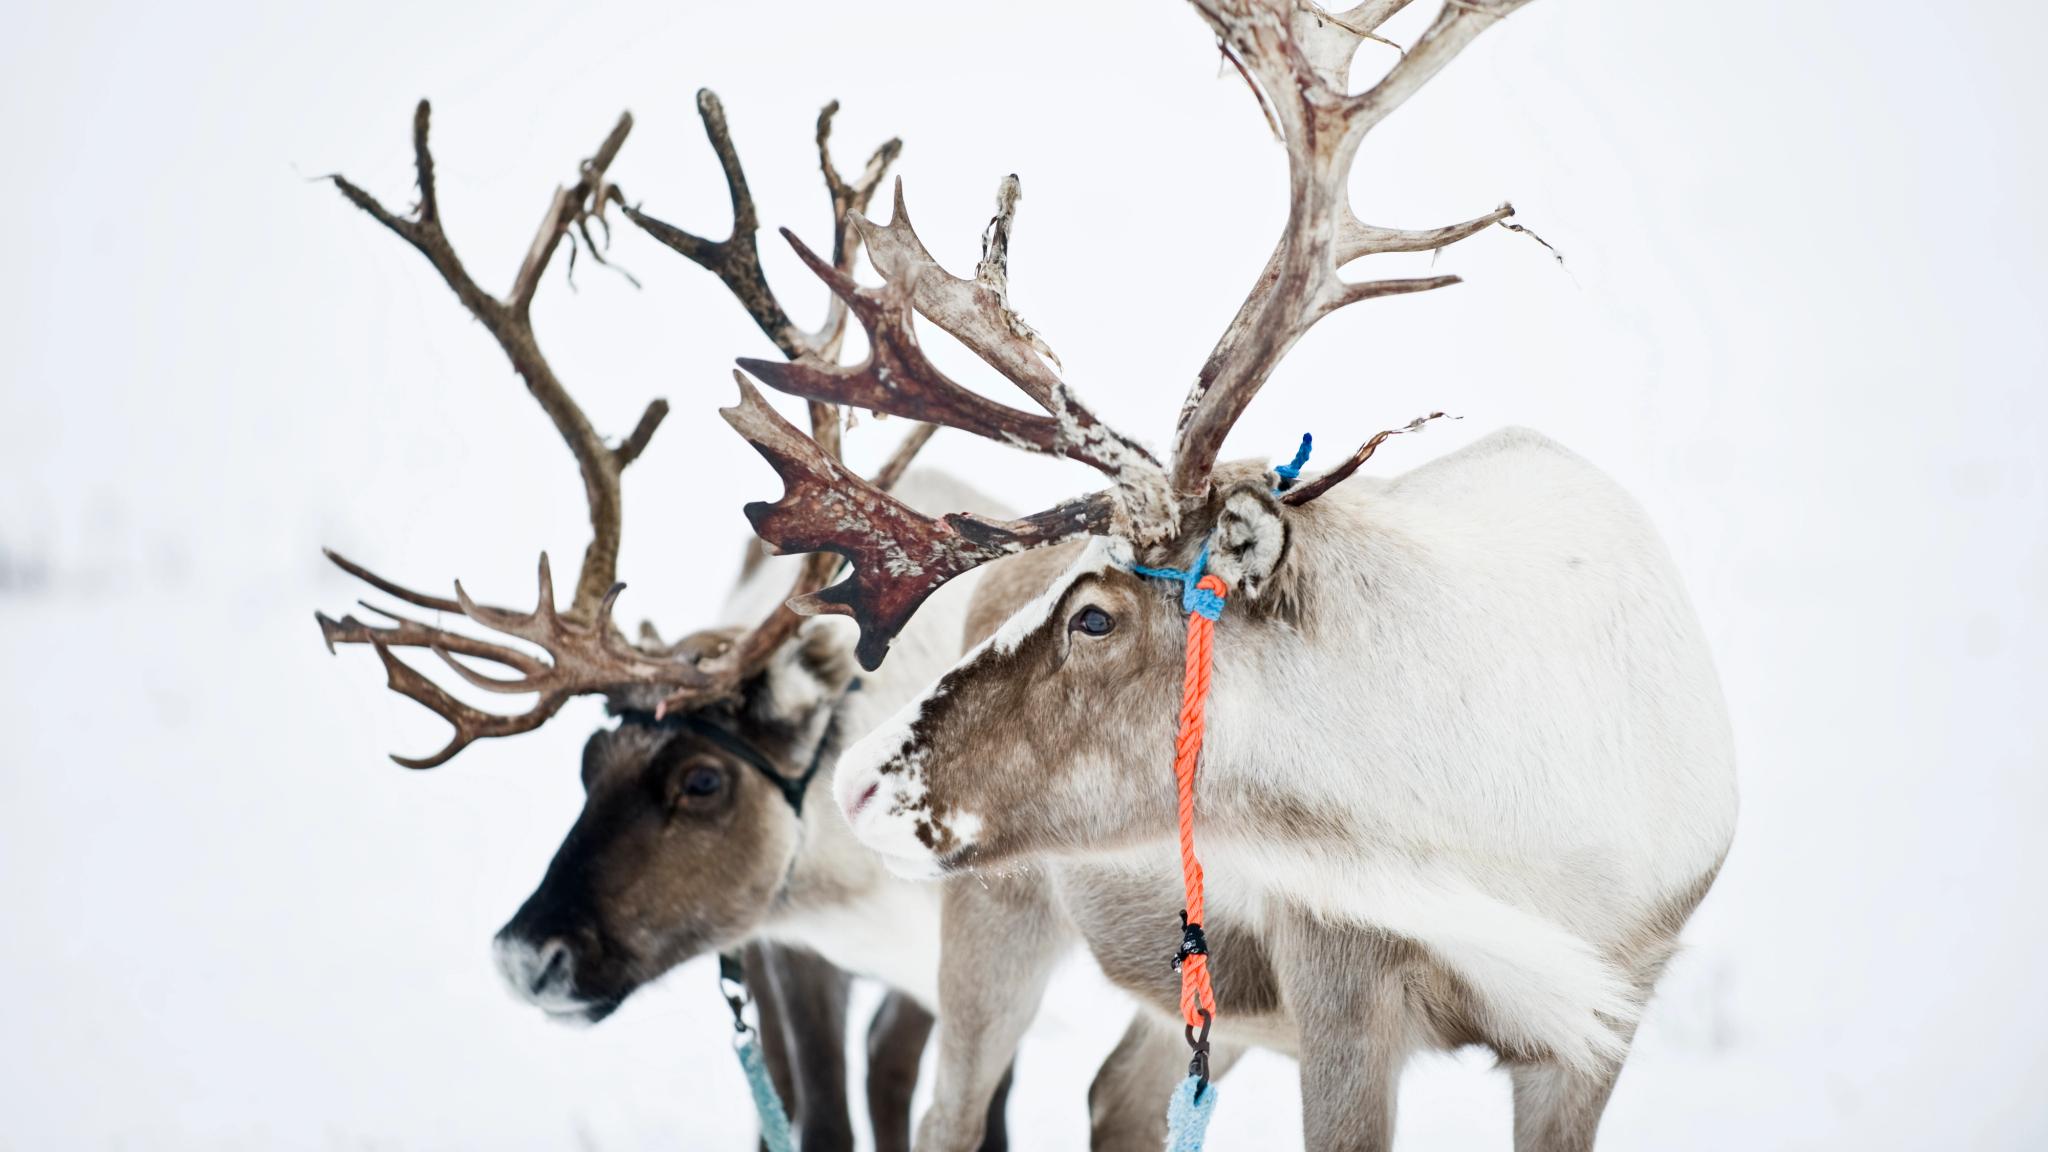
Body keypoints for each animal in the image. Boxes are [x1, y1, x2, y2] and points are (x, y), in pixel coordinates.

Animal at [714, 1, 1739, 1149]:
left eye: (1096, 619)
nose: (854, 780)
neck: (1499, 850)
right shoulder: (1338, 979)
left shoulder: (1601, 1020)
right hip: (1004, 919)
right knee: (956, 1107)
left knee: (1119, 1094)